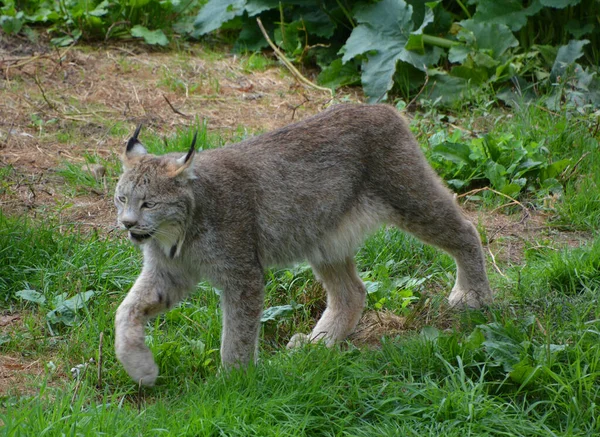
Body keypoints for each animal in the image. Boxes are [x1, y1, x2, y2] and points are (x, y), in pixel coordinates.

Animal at [113, 104, 492, 384]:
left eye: (149, 204)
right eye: (121, 199)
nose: (127, 224)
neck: (178, 235)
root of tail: (376, 106)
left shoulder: (243, 274)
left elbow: (237, 333)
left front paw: (232, 383)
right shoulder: (168, 272)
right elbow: (125, 311)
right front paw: (140, 367)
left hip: (409, 198)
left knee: (467, 229)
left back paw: (474, 295)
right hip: (322, 235)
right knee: (353, 292)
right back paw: (317, 344)